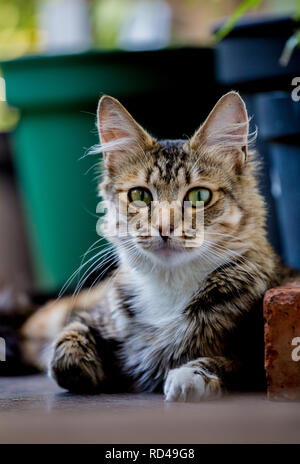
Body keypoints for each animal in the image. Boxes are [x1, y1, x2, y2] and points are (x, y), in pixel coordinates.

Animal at [17, 92, 294, 400]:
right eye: (140, 195)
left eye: (199, 195)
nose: (164, 227)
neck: (169, 284)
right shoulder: (94, 315)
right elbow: (64, 350)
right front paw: (92, 369)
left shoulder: (258, 354)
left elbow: (225, 364)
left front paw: (188, 377)